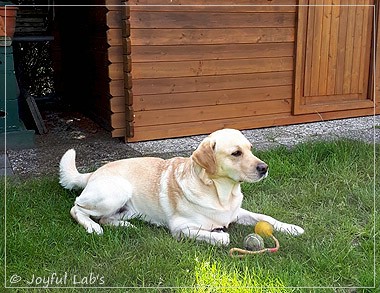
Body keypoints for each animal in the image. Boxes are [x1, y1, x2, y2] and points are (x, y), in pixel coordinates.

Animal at [58, 128, 302, 244]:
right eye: (236, 153)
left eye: (250, 149)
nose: (265, 168)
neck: (221, 194)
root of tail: (93, 173)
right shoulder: (181, 228)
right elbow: (222, 237)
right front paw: (220, 234)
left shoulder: (236, 212)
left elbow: (265, 218)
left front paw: (291, 228)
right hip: (116, 191)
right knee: (77, 208)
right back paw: (92, 227)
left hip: (126, 207)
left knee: (106, 218)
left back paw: (124, 226)